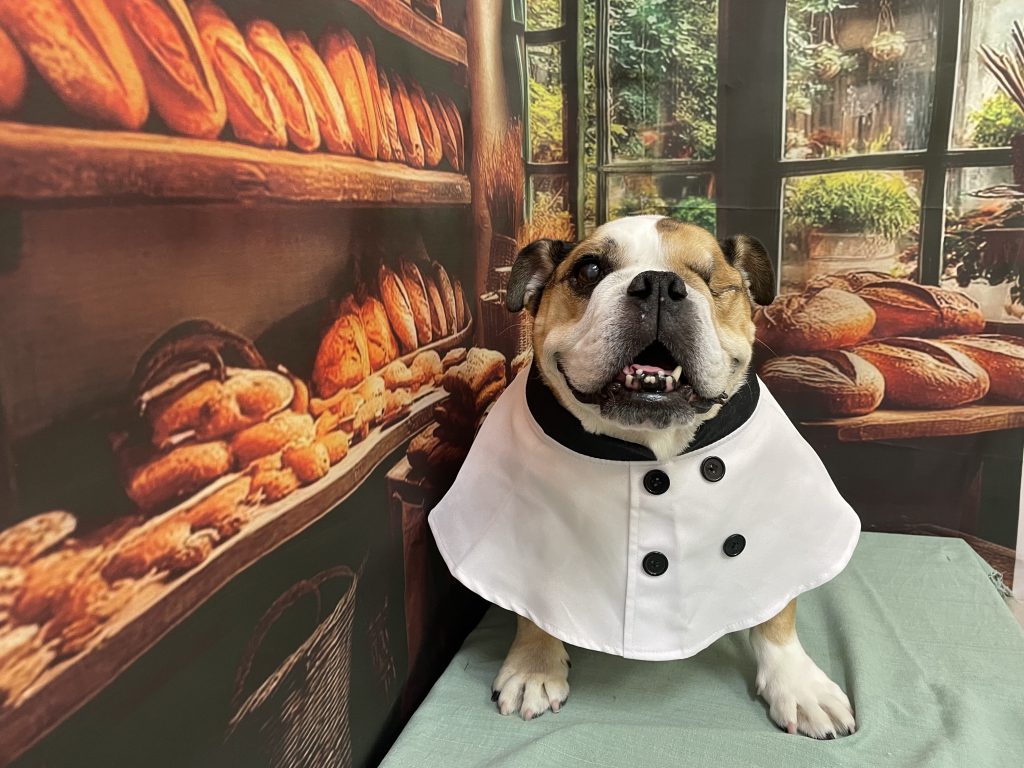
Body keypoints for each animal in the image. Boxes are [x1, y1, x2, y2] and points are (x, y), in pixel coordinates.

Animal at [428, 215, 859, 739]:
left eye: (712, 280)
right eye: (590, 270)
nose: (659, 284)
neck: (648, 447)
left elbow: (776, 605)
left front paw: (796, 683)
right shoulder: (523, 537)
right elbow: (534, 602)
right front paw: (535, 665)